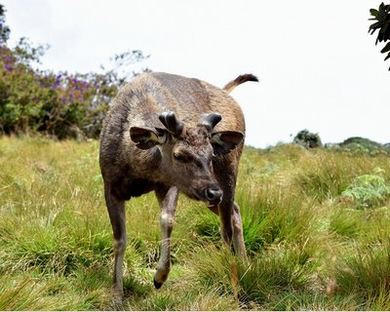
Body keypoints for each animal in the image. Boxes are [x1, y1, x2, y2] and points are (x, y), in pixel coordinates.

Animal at [100, 72, 258, 302]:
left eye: (211, 154)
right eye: (179, 155)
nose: (214, 192)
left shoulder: (170, 184)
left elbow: (167, 220)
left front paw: (159, 277)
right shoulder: (110, 185)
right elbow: (119, 240)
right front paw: (116, 294)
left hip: (227, 171)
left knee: (226, 225)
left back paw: (236, 274)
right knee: (235, 211)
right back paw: (245, 264)